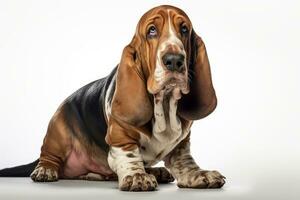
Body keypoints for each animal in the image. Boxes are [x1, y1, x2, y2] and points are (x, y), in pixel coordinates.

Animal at [0, 5, 225, 191]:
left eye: (184, 29)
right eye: (152, 31)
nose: (175, 60)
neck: (164, 105)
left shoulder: (182, 143)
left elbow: (184, 161)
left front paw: (199, 174)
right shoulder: (119, 135)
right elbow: (129, 155)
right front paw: (137, 177)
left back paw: (155, 171)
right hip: (57, 131)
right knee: (47, 157)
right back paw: (45, 170)